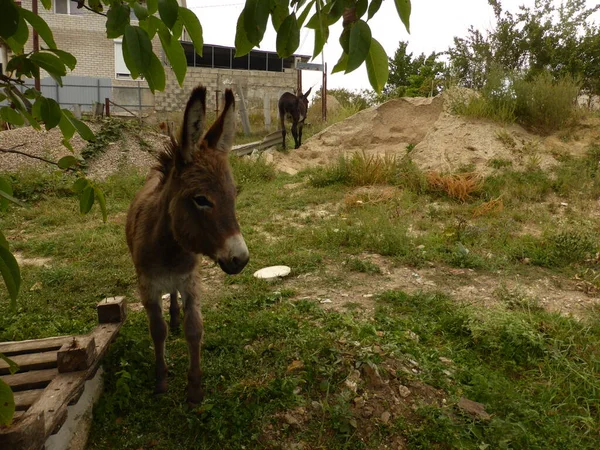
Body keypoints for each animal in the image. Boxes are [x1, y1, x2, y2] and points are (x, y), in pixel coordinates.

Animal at [126, 86, 248, 402]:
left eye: (234, 194)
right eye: (201, 199)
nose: (241, 259)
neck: (171, 248)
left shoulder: (191, 280)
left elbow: (195, 329)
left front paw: (194, 390)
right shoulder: (147, 287)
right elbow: (157, 331)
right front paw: (161, 382)